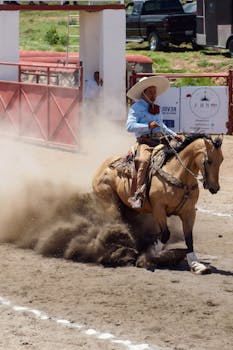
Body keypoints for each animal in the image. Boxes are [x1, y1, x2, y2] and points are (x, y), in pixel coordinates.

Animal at [92, 134, 223, 274]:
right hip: (109, 202)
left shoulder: (189, 212)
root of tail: (101, 167)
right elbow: (165, 234)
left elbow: (189, 238)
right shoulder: (158, 209)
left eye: (221, 160)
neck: (177, 174)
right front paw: (150, 256)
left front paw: (196, 264)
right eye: (209, 161)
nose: (215, 188)